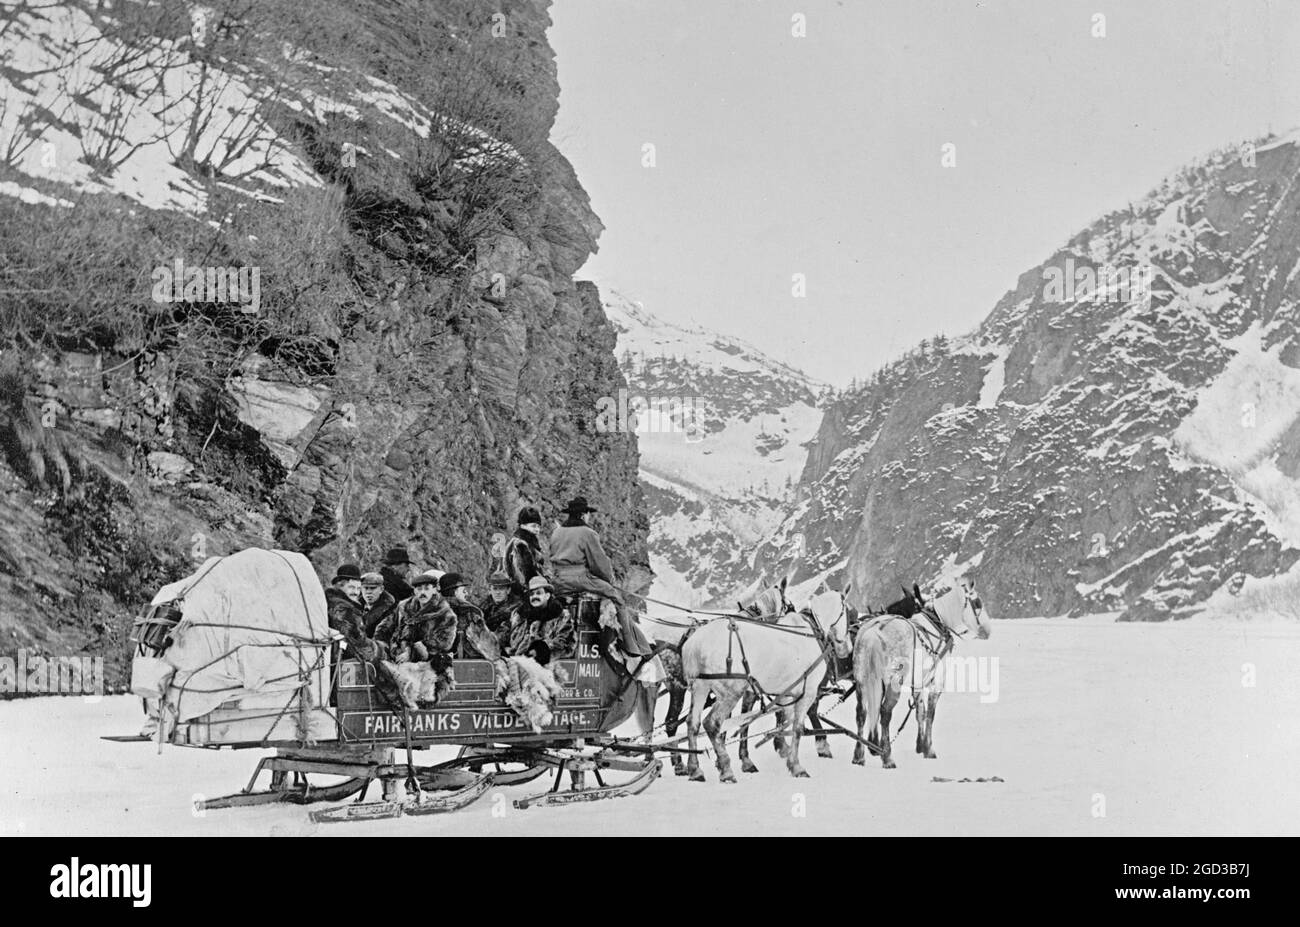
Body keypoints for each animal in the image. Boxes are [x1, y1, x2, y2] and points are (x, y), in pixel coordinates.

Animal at [681, 590, 852, 774]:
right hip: (730, 692)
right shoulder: (808, 693)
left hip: (700, 688)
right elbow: (797, 728)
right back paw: (726, 769)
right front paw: (797, 765)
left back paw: (695, 768)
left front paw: (785, 753)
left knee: (692, 723)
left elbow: (784, 721)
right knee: (712, 724)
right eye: (849, 614)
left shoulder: (787, 693)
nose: (847, 649)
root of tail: (695, 643)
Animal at [847, 577, 987, 764]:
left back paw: (859, 756)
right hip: (893, 682)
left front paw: (920, 746)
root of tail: (873, 633)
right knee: (885, 713)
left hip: (862, 680)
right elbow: (930, 715)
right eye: (977, 602)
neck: (937, 622)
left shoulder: (919, 682)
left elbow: (920, 712)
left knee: (861, 712)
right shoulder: (936, 681)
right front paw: (929, 749)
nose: (986, 630)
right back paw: (887, 757)